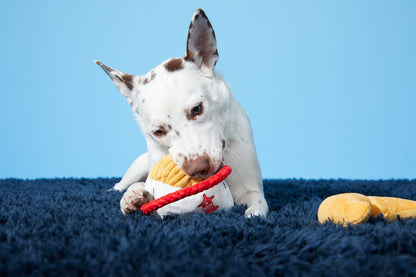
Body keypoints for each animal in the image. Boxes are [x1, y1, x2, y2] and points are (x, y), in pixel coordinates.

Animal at [96, 8, 268, 217]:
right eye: (158, 132)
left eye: (197, 109)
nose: (198, 168)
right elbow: (140, 188)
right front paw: (132, 195)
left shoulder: (250, 189)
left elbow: (257, 204)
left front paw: (253, 213)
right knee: (120, 184)